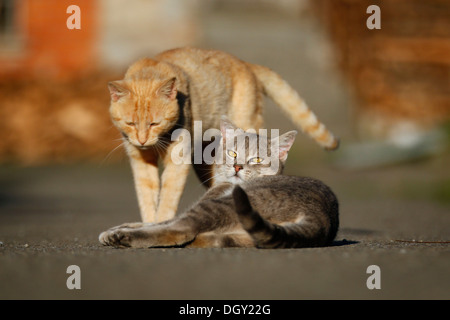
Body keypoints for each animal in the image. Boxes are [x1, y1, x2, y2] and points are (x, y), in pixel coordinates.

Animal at [98, 119, 338, 249]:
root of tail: (320, 215)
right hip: (239, 236)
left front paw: (119, 231)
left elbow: (161, 223)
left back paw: (124, 239)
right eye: (232, 153)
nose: (238, 166)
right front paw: (121, 226)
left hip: (224, 204)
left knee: (180, 231)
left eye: (257, 159)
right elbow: (153, 221)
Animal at [106, 47, 338, 222]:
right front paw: (149, 223)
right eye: (130, 123)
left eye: (155, 123)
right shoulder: (140, 162)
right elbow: (146, 197)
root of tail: (245, 62)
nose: (142, 139)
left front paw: (160, 222)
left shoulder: (177, 161)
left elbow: (168, 198)